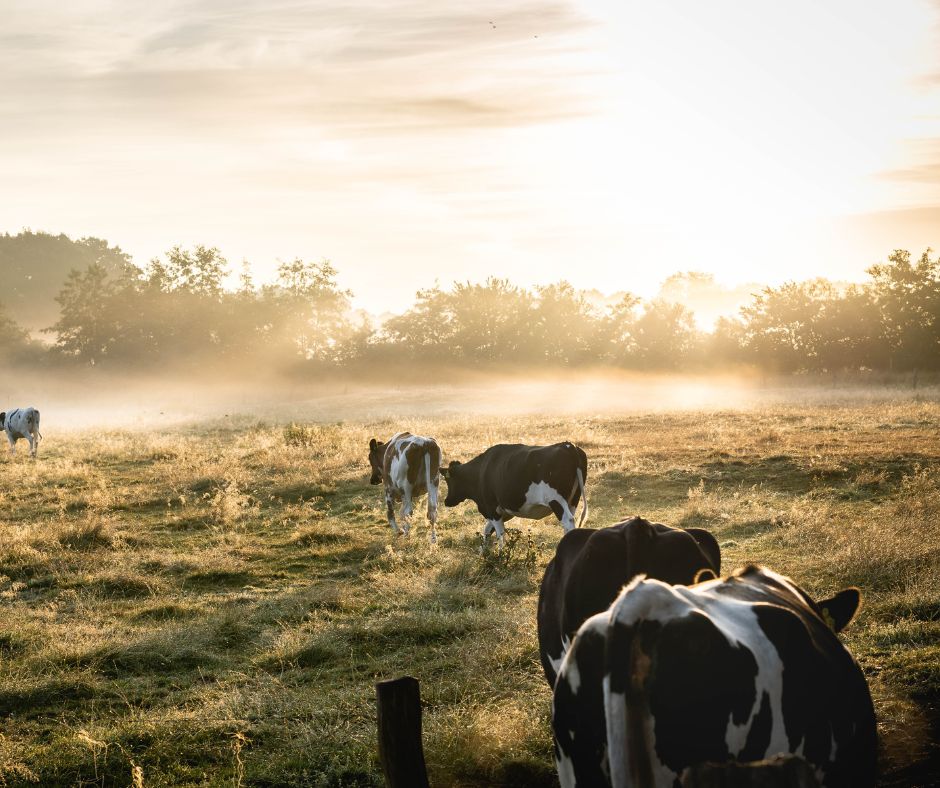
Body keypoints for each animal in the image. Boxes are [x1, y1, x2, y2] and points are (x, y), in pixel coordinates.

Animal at [440, 444, 588, 548]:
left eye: (448, 480)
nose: (446, 501)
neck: (481, 471)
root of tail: (568, 445)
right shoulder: (503, 511)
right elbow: (487, 529)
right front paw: (484, 553)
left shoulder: (491, 507)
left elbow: (500, 534)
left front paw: (500, 555)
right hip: (573, 500)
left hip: (556, 500)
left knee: (568, 521)